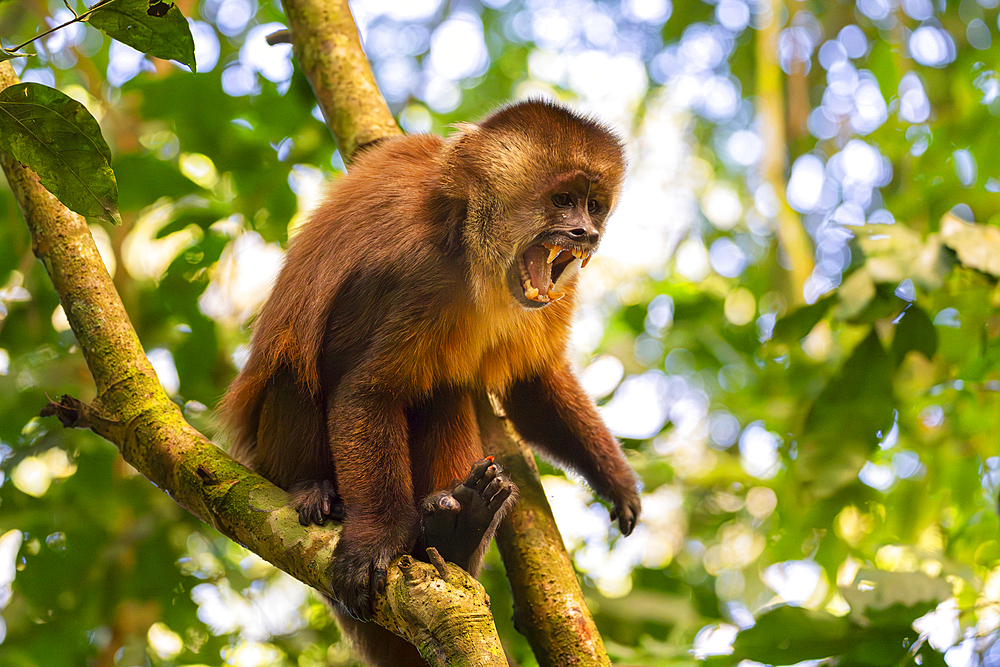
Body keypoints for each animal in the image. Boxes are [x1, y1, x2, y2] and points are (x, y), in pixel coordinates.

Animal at [218, 100, 640, 667]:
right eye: (562, 201)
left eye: (594, 207)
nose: (585, 234)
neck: (469, 245)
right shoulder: (411, 273)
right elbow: (361, 389)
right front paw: (375, 542)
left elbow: (530, 386)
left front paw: (616, 479)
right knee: (299, 367)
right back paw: (311, 488)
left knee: (445, 391)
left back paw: (458, 531)